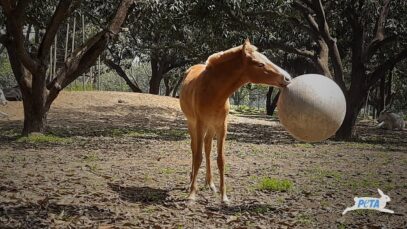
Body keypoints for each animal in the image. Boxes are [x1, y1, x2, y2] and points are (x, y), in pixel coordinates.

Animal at [180, 39, 292, 204]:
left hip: (211, 126)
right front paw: (192, 195)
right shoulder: (200, 124)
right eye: (260, 64)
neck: (213, 91)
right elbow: (198, 156)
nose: (287, 78)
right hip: (192, 123)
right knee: (194, 149)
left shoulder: (222, 126)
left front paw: (224, 197)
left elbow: (221, 159)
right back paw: (191, 182)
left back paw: (210, 184)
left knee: (207, 147)